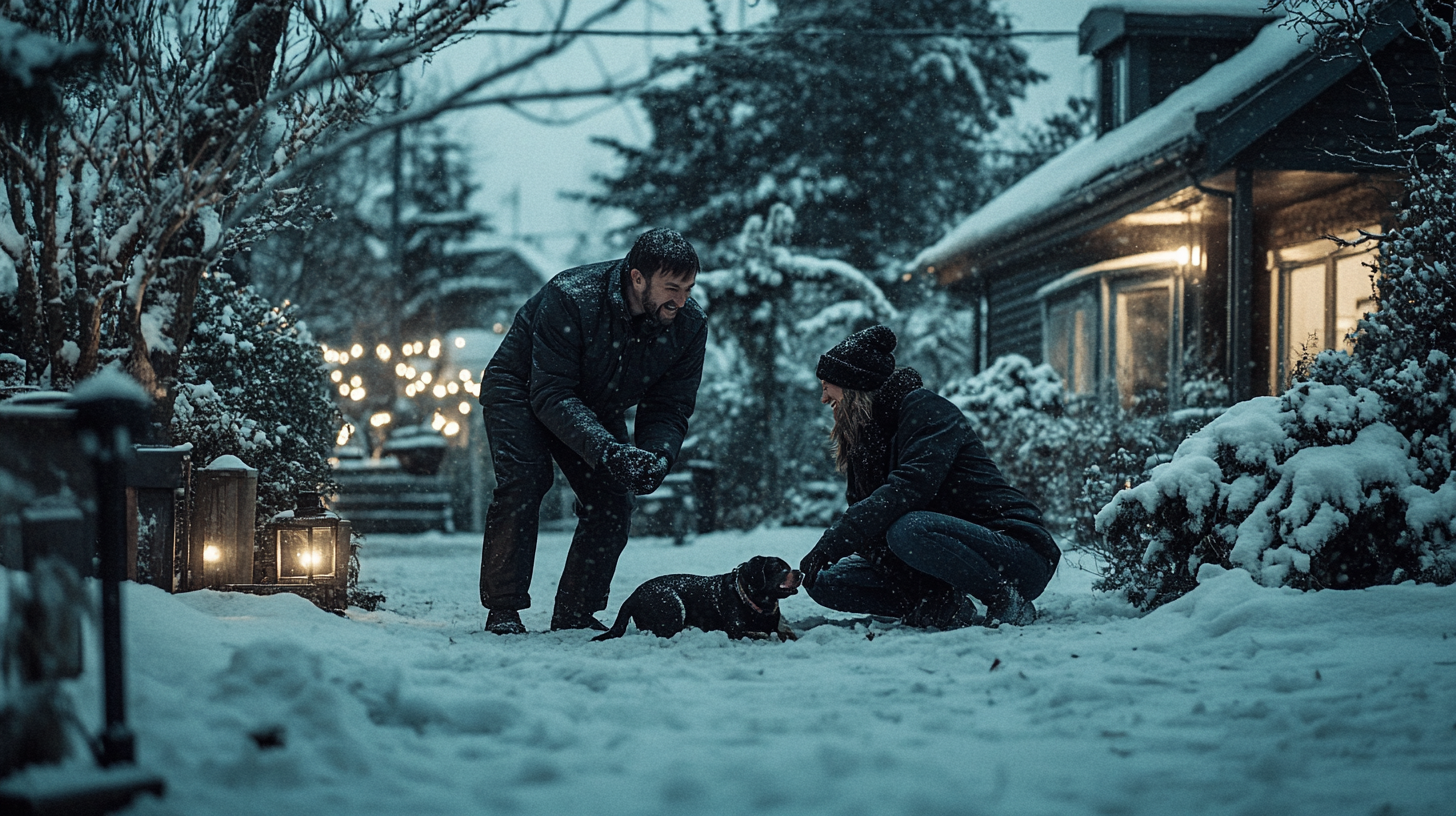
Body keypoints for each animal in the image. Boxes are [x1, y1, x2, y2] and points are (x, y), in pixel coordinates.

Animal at [588, 556, 803, 641]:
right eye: (778, 569)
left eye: (788, 566)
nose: (800, 572)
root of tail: (632, 596)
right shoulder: (735, 631)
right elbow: (763, 634)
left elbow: (782, 631)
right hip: (672, 602)